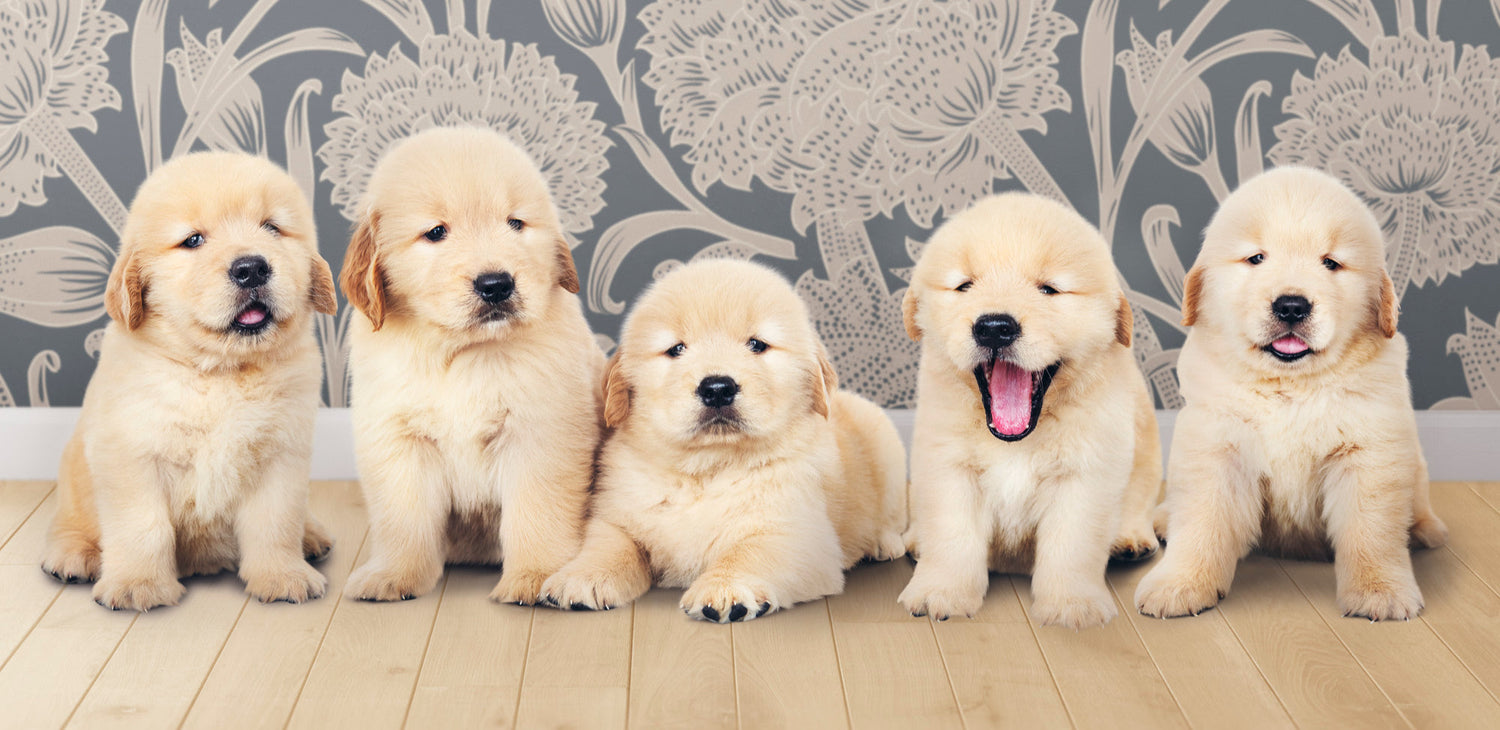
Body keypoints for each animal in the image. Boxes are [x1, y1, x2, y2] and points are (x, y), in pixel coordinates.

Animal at [337, 127, 600, 605]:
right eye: (436, 232)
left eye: (515, 223)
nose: (497, 284)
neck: (463, 353)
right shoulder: (398, 438)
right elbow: (403, 518)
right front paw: (395, 575)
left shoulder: (541, 434)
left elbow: (537, 512)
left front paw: (534, 576)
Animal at [543, 259, 912, 620]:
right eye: (676, 349)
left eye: (757, 345)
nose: (717, 388)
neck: (708, 468)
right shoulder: (618, 517)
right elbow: (608, 547)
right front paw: (581, 578)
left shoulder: (796, 534)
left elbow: (749, 554)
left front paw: (725, 589)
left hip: (887, 446)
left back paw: (883, 543)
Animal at [894, 193, 1164, 629]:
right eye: (964, 285)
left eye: (1049, 289)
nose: (994, 327)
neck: (1016, 440)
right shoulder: (949, 465)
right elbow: (952, 536)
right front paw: (941, 592)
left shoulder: (1084, 474)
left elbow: (1072, 544)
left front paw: (1072, 605)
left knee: (1139, 500)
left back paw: (1130, 539)